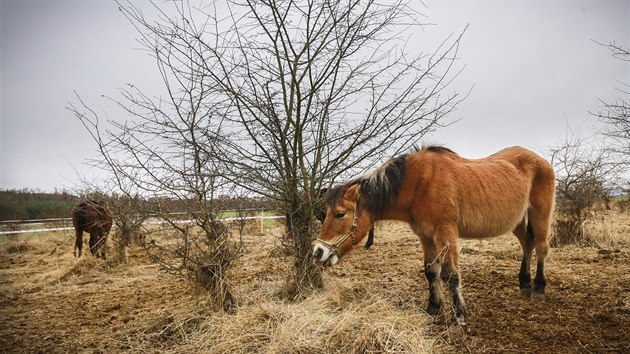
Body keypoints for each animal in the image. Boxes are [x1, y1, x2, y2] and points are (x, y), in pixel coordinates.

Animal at [314, 145, 556, 330]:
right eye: (325, 213)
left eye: (340, 214)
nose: (318, 252)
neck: (420, 183)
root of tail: (540, 161)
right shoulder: (425, 236)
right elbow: (431, 271)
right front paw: (433, 307)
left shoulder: (445, 232)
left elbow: (450, 275)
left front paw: (460, 318)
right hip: (518, 222)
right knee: (527, 244)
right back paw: (524, 284)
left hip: (540, 214)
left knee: (541, 248)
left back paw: (538, 288)